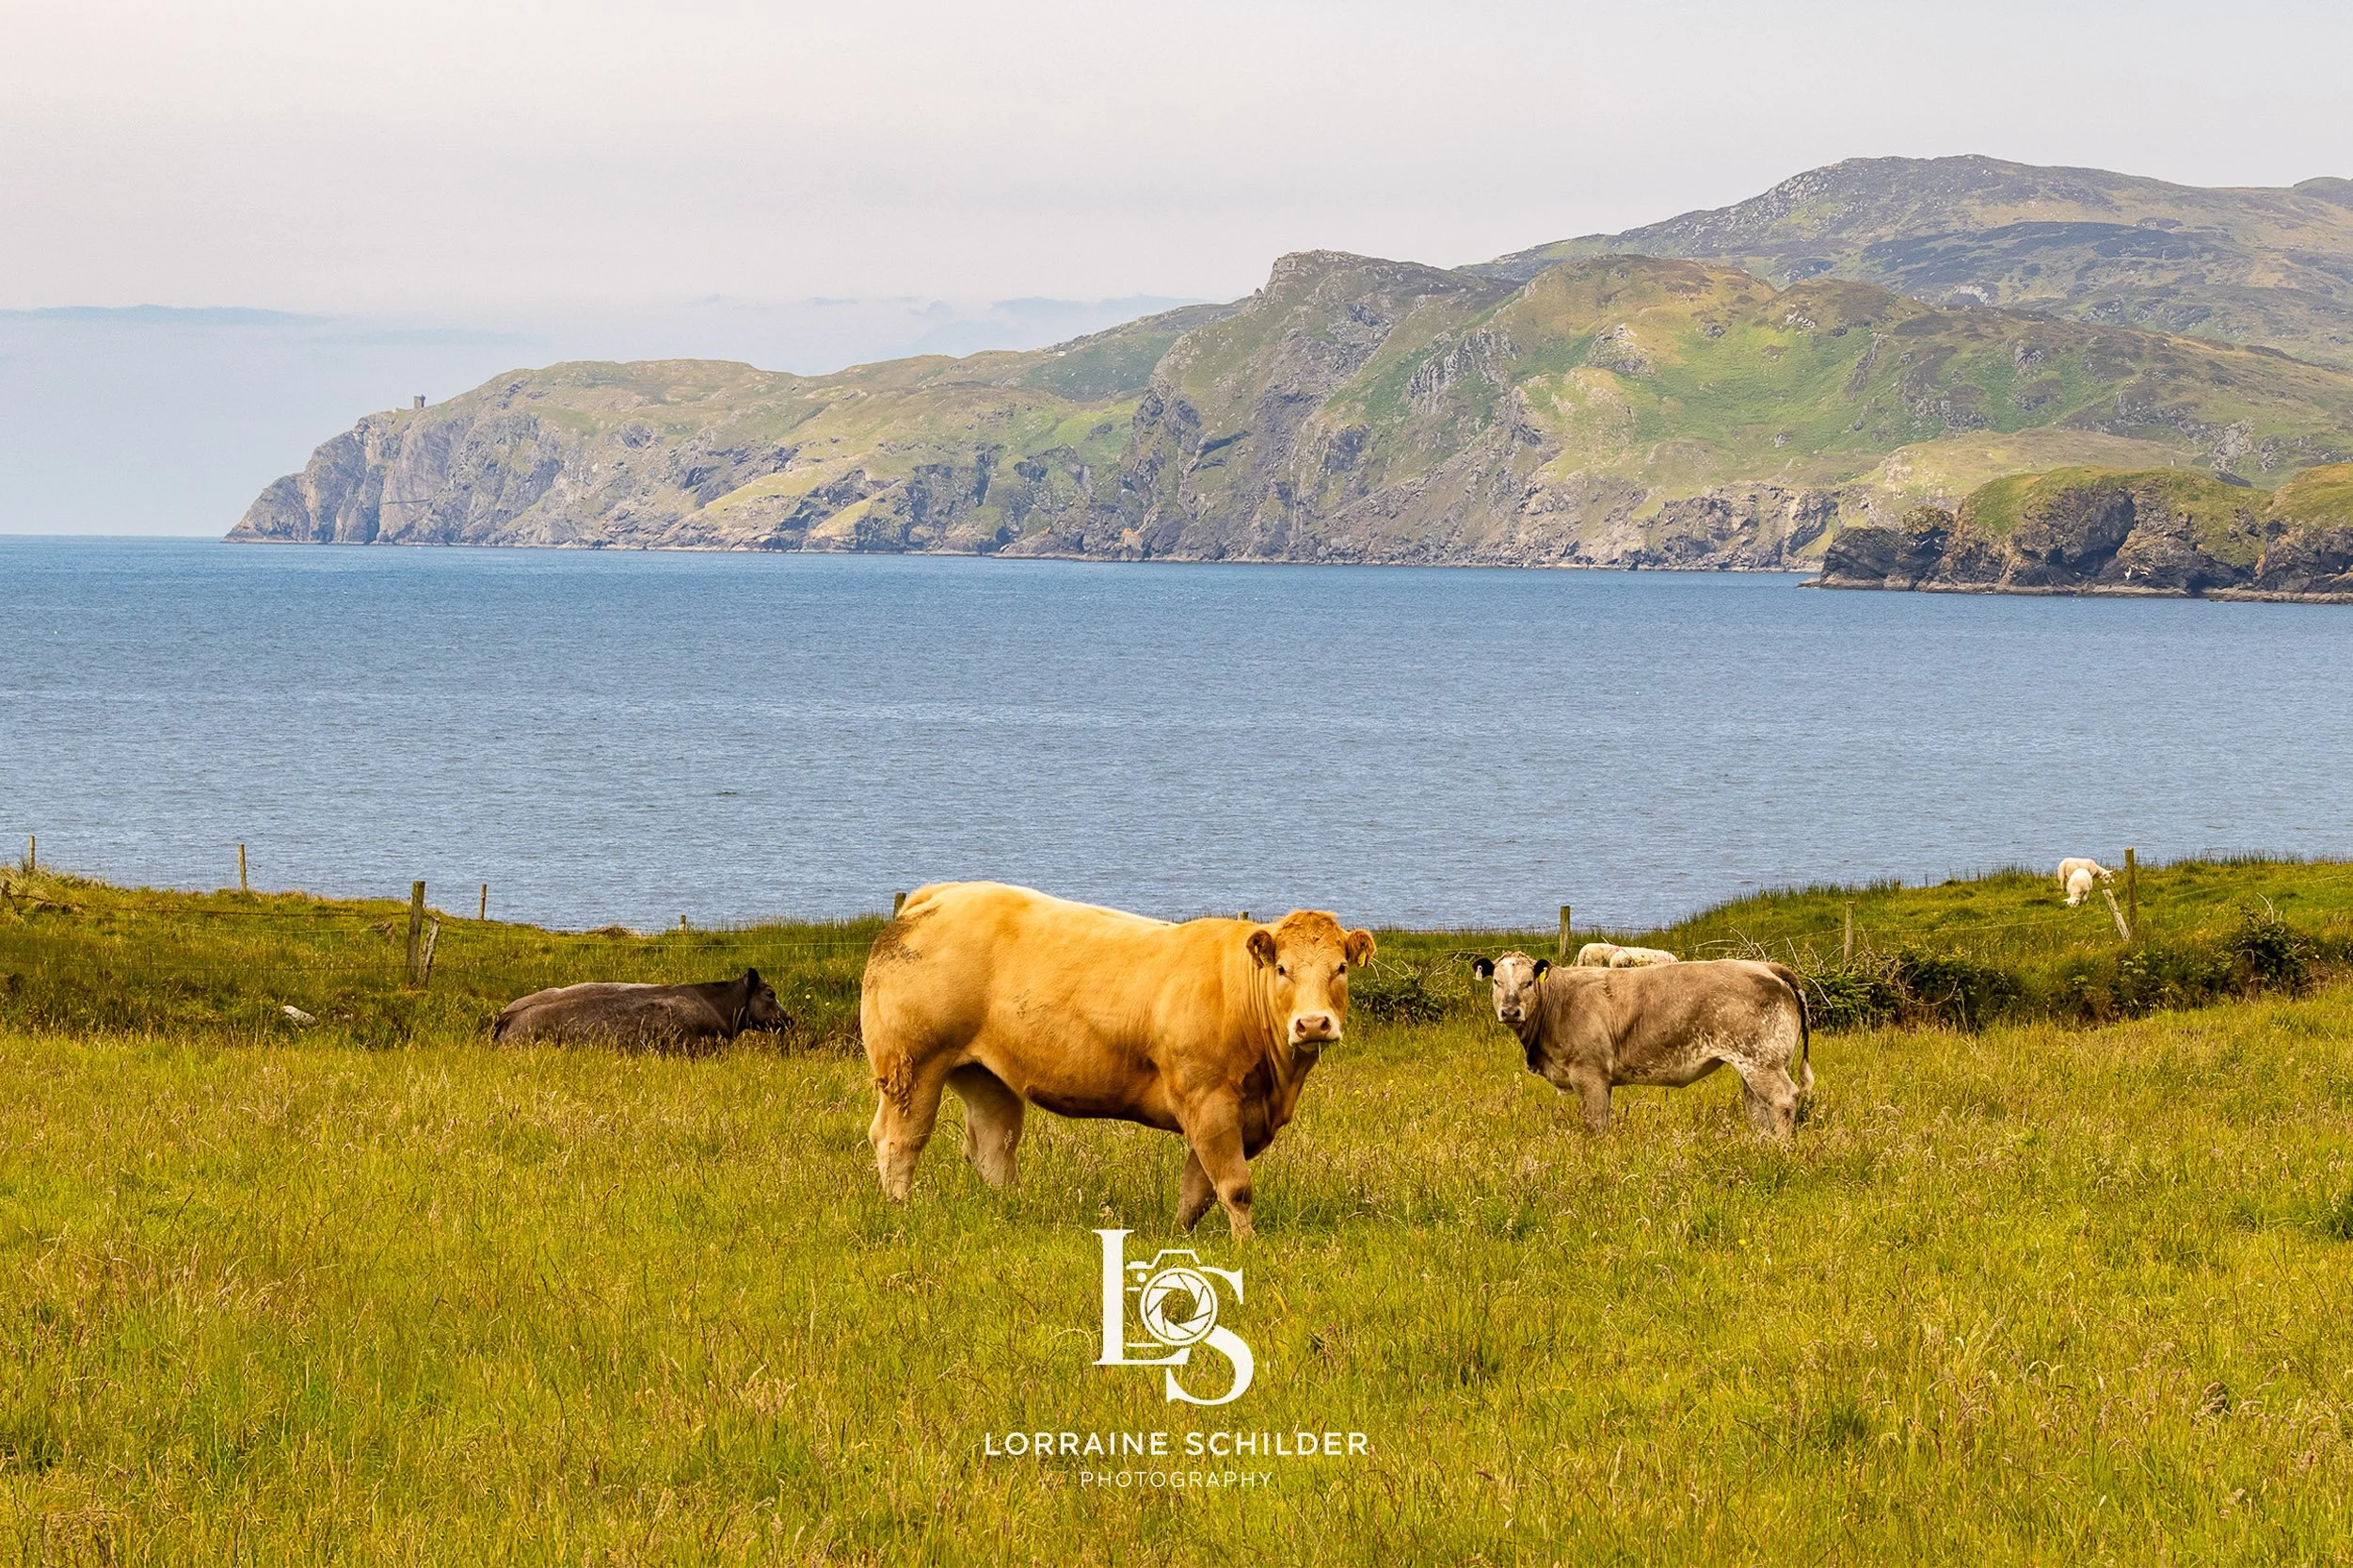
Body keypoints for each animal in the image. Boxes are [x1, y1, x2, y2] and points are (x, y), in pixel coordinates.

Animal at [858, 881, 1375, 1238]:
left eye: (1341, 969)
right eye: (1283, 969)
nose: (1312, 1024)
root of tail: (936, 896)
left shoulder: (1230, 1113)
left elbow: (1197, 1190)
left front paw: (1180, 1239)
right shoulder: (1207, 1098)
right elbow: (1233, 1186)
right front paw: (1246, 1245)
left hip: (986, 1075)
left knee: (992, 1146)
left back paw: (1013, 1213)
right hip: (913, 1064)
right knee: (898, 1140)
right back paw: (900, 1212)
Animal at [1471, 950, 1811, 1138]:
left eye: (1528, 982)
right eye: (1496, 982)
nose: (1510, 1011)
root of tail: (1764, 966)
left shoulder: (1589, 1073)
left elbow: (1596, 1123)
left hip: (1762, 1062)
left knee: (1783, 1099)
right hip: (1753, 1065)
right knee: (1758, 1108)